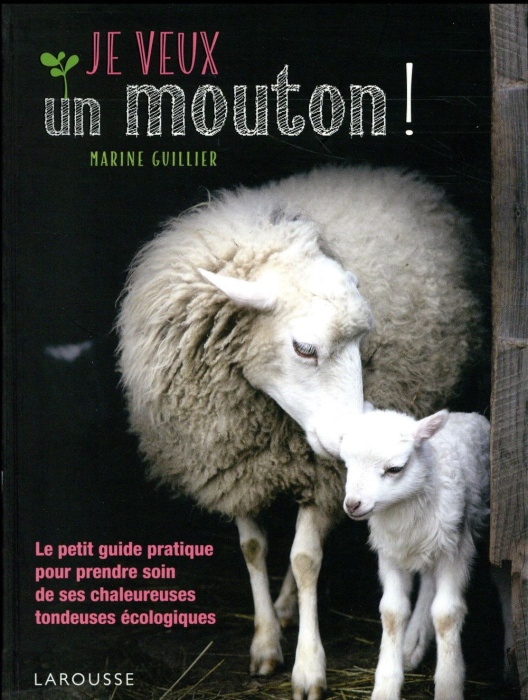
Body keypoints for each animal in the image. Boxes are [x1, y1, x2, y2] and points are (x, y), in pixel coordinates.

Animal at [341, 408, 490, 700]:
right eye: (347, 465)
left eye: (394, 469)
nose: (353, 505)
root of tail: (465, 413)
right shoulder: (389, 553)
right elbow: (392, 612)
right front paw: (385, 687)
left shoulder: (455, 548)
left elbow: (446, 614)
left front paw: (448, 685)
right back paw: (411, 646)